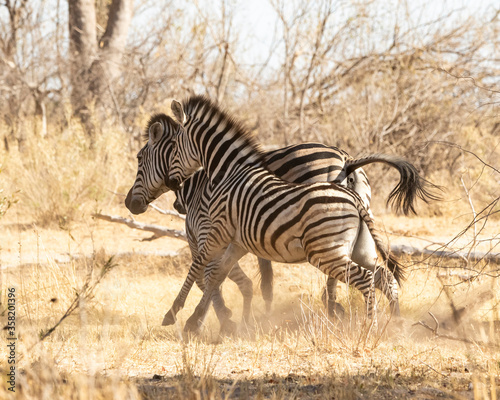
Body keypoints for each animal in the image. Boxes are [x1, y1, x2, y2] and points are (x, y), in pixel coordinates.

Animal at [128, 96, 438, 332]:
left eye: (141, 158)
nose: (129, 204)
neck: (229, 171)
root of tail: (348, 161)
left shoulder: (211, 233)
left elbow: (202, 271)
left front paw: (183, 314)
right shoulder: (238, 239)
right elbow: (221, 275)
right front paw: (210, 320)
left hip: (325, 250)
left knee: (362, 279)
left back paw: (358, 322)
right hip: (360, 246)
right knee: (383, 277)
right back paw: (393, 324)